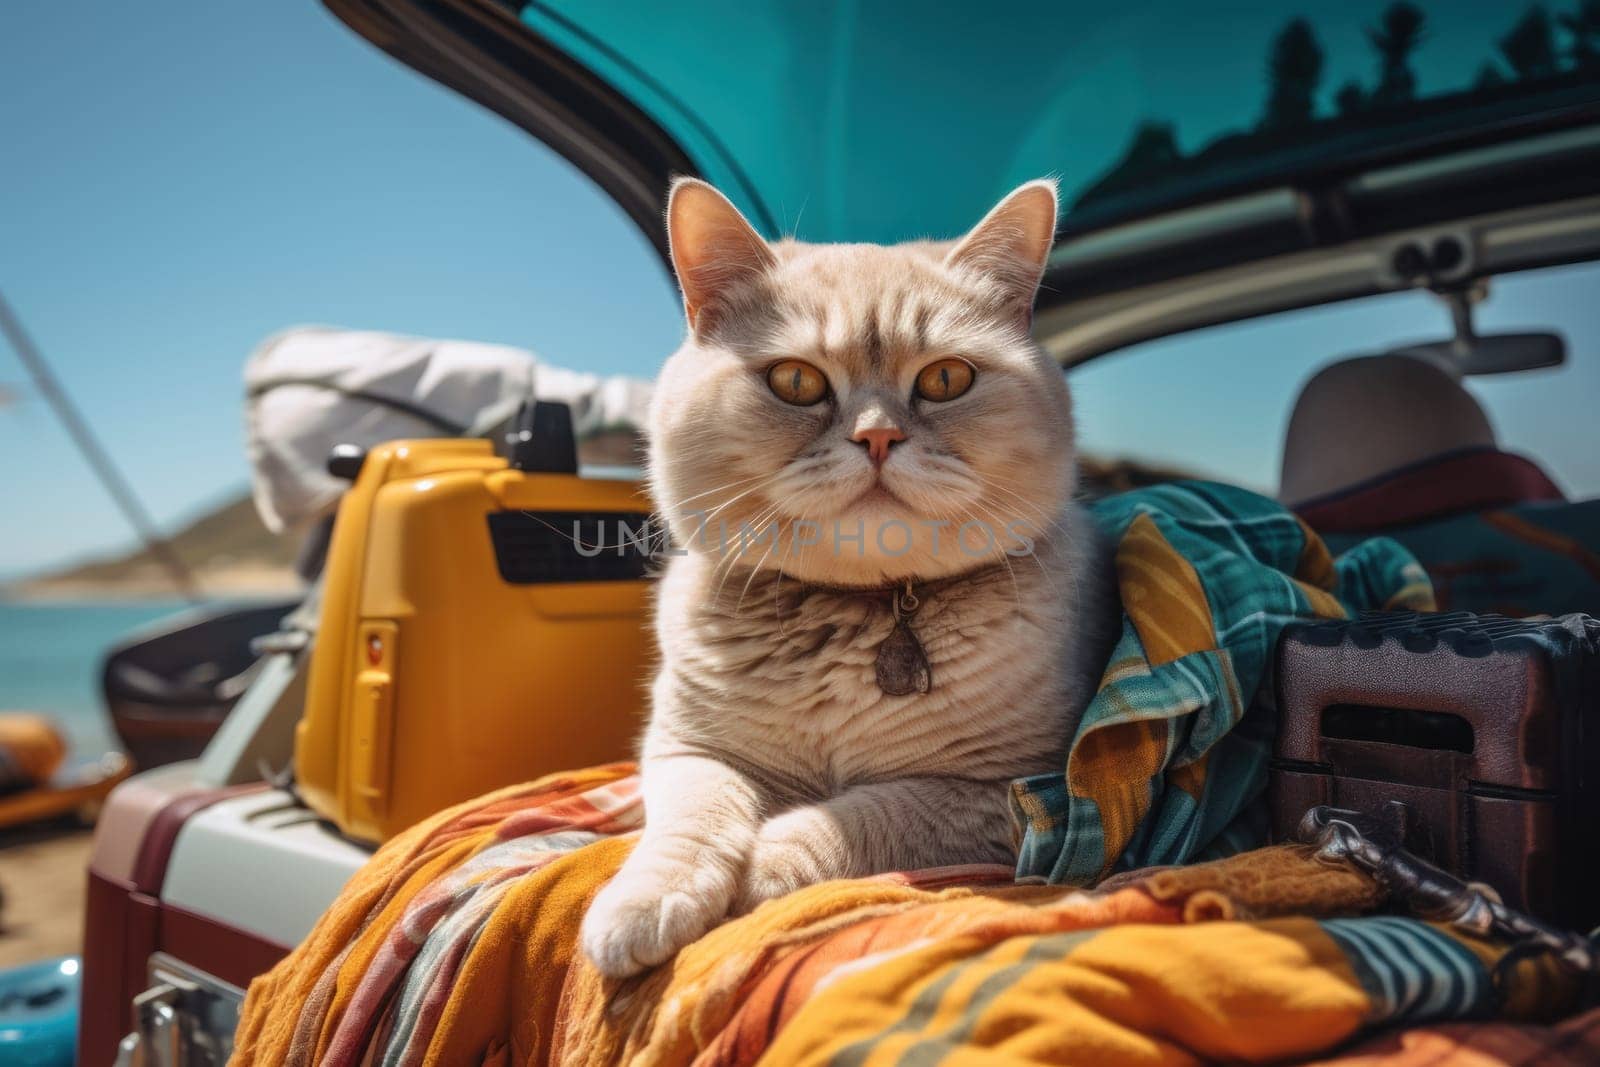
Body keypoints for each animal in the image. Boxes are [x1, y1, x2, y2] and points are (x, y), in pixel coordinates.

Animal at [582, 173, 1120, 979]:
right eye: (796, 380)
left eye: (947, 378)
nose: (877, 437)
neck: (858, 612)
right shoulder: (689, 750)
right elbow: (690, 819)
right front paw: (643, 901)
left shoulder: (1010, 793)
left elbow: (849, 819)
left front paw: (760, 869)